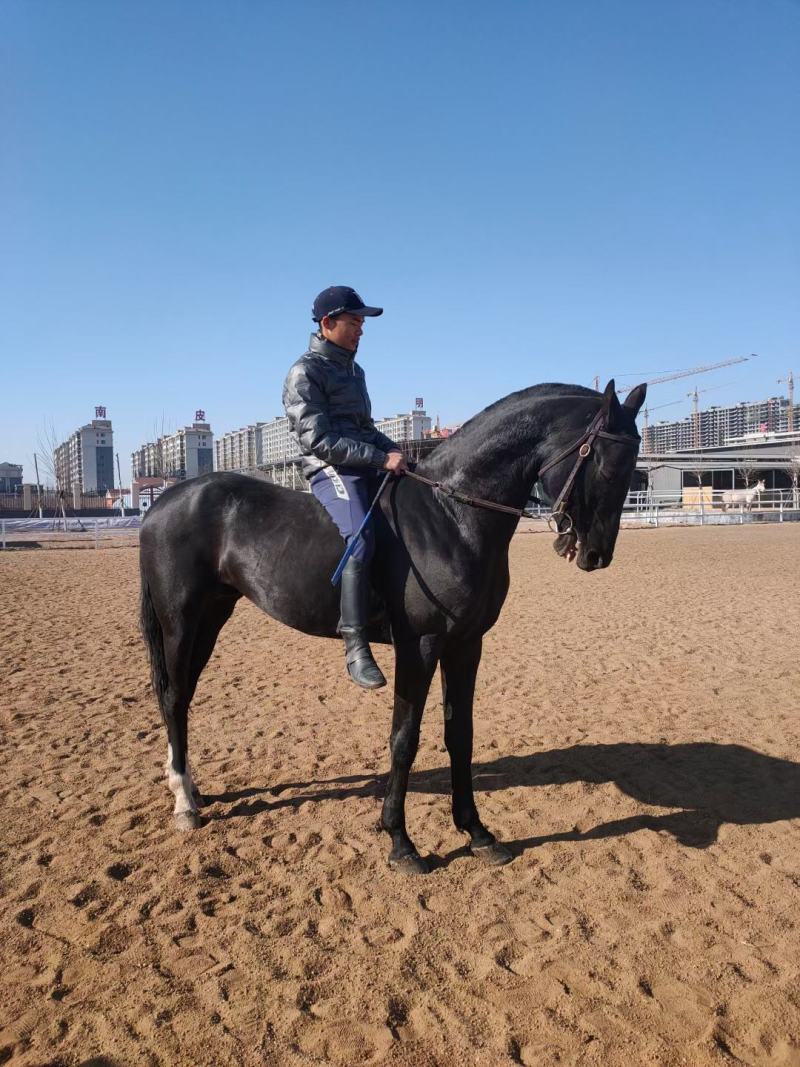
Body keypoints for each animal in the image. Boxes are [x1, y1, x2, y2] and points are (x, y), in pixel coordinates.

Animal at [139, 379, 646, 874]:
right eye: (607, 467)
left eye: (633, 469)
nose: (596, 555)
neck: (450, 515)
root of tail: (165, 501)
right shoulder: (419, 646)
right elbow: (404, 739)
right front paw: (401, 842)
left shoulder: (466, 644)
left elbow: (460, 734)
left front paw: (477, 832)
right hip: (181, 620)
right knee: (173, 697)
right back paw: (184, 802)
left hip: (212, 616)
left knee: (182, 697)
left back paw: (191, 788)